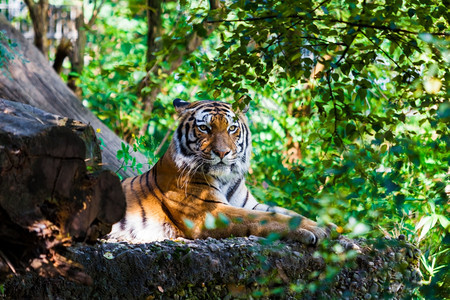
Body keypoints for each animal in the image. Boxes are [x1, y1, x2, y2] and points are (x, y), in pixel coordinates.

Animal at [107, 99, 328, 245]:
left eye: (232, 128)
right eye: (204, 128)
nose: (222, 152)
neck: (226, 178)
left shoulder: (248, 203)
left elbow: (285, 212)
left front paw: (327, 227)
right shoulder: (209, 211)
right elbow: (264, 217)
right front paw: (314, 230)